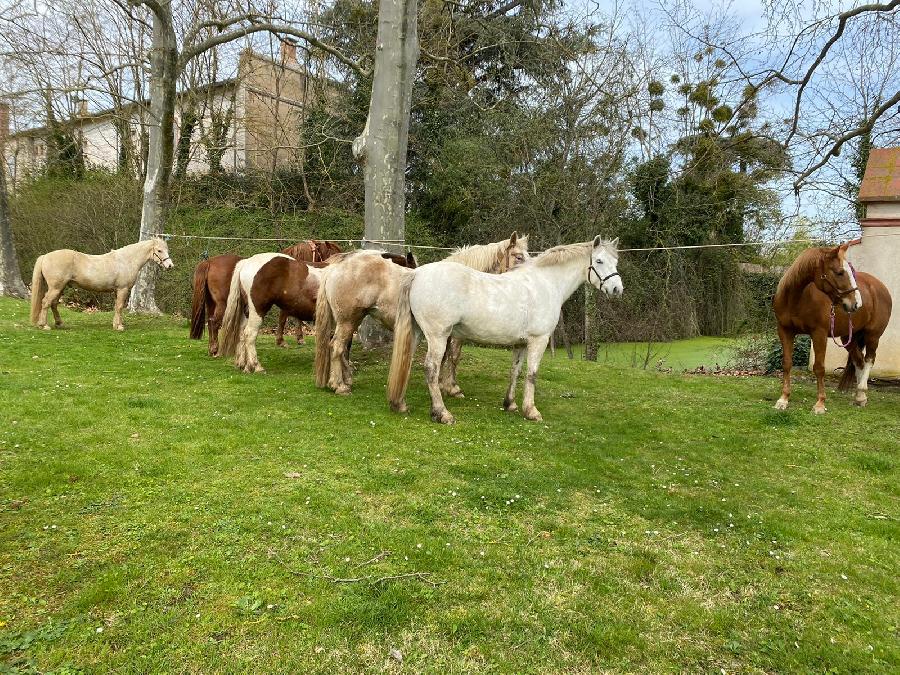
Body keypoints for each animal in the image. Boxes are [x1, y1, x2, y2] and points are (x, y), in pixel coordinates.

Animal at [29, 239, 173, 332]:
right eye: (159, 250)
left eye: (167, 250)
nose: (170, 265)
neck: (126, 260)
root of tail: (45, 256)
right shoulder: (123, 289)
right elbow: (119, 307)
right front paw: (119, 327)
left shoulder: (117, 291)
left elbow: (117, 307)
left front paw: (116, 324)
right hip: (56, 287)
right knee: (46, 302)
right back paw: (44, 325)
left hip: (60, 288)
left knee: (53, 304)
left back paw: (59, 324)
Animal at [190, 243, 342, 360]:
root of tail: (209, 262)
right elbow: (284, 318)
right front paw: (284, 340)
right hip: (223, 305)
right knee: (214, 323)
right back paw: (215, 349)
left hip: (212, 304)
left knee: (210, 322)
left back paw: (212, 349)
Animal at [386, 238, 620, 426]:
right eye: (599, 261)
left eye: (615, 261)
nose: (617, 289)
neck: (545, 283)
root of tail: (417, 273)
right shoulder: (539, 340)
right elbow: (532, 374)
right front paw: (531, 411)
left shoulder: (521, 343)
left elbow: (515, 371)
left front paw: (510, 404)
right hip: (438, 337)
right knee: (431, 369)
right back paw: (441, 413)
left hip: (417, 334)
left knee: (406, 361)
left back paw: (400, 403)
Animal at [772, 243, 892, 412]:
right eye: (840, 272)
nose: (857, 303)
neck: (797, 299)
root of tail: (880, 288)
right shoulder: (785, 331)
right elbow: (787, 364)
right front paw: (783, 399)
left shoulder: (819, 334)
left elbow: (819, 367)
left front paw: (820, 404)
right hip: (849, 337)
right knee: (859, 361)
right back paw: (859, 397)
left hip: (873, 335)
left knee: (869, 359)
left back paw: (862, 392)